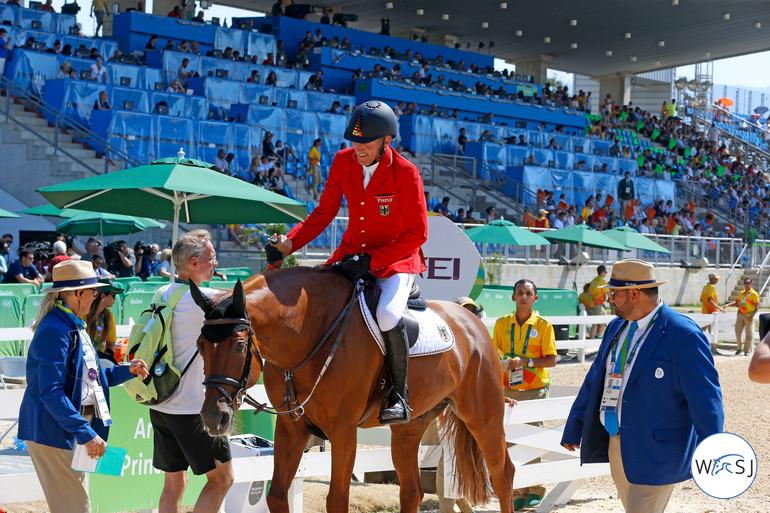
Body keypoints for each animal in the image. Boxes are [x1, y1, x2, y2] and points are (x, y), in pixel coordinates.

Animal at [191, 268, 512, 512]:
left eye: (239, 346)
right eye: (200, 346)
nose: (213, 418)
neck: (312, 332)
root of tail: (471, 321)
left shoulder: (343, 429)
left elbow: (337, 500)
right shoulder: (291, 428)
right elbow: (278, 495)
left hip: (483, 417)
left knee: (503, 475)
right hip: (409, 429)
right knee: (412, 491)